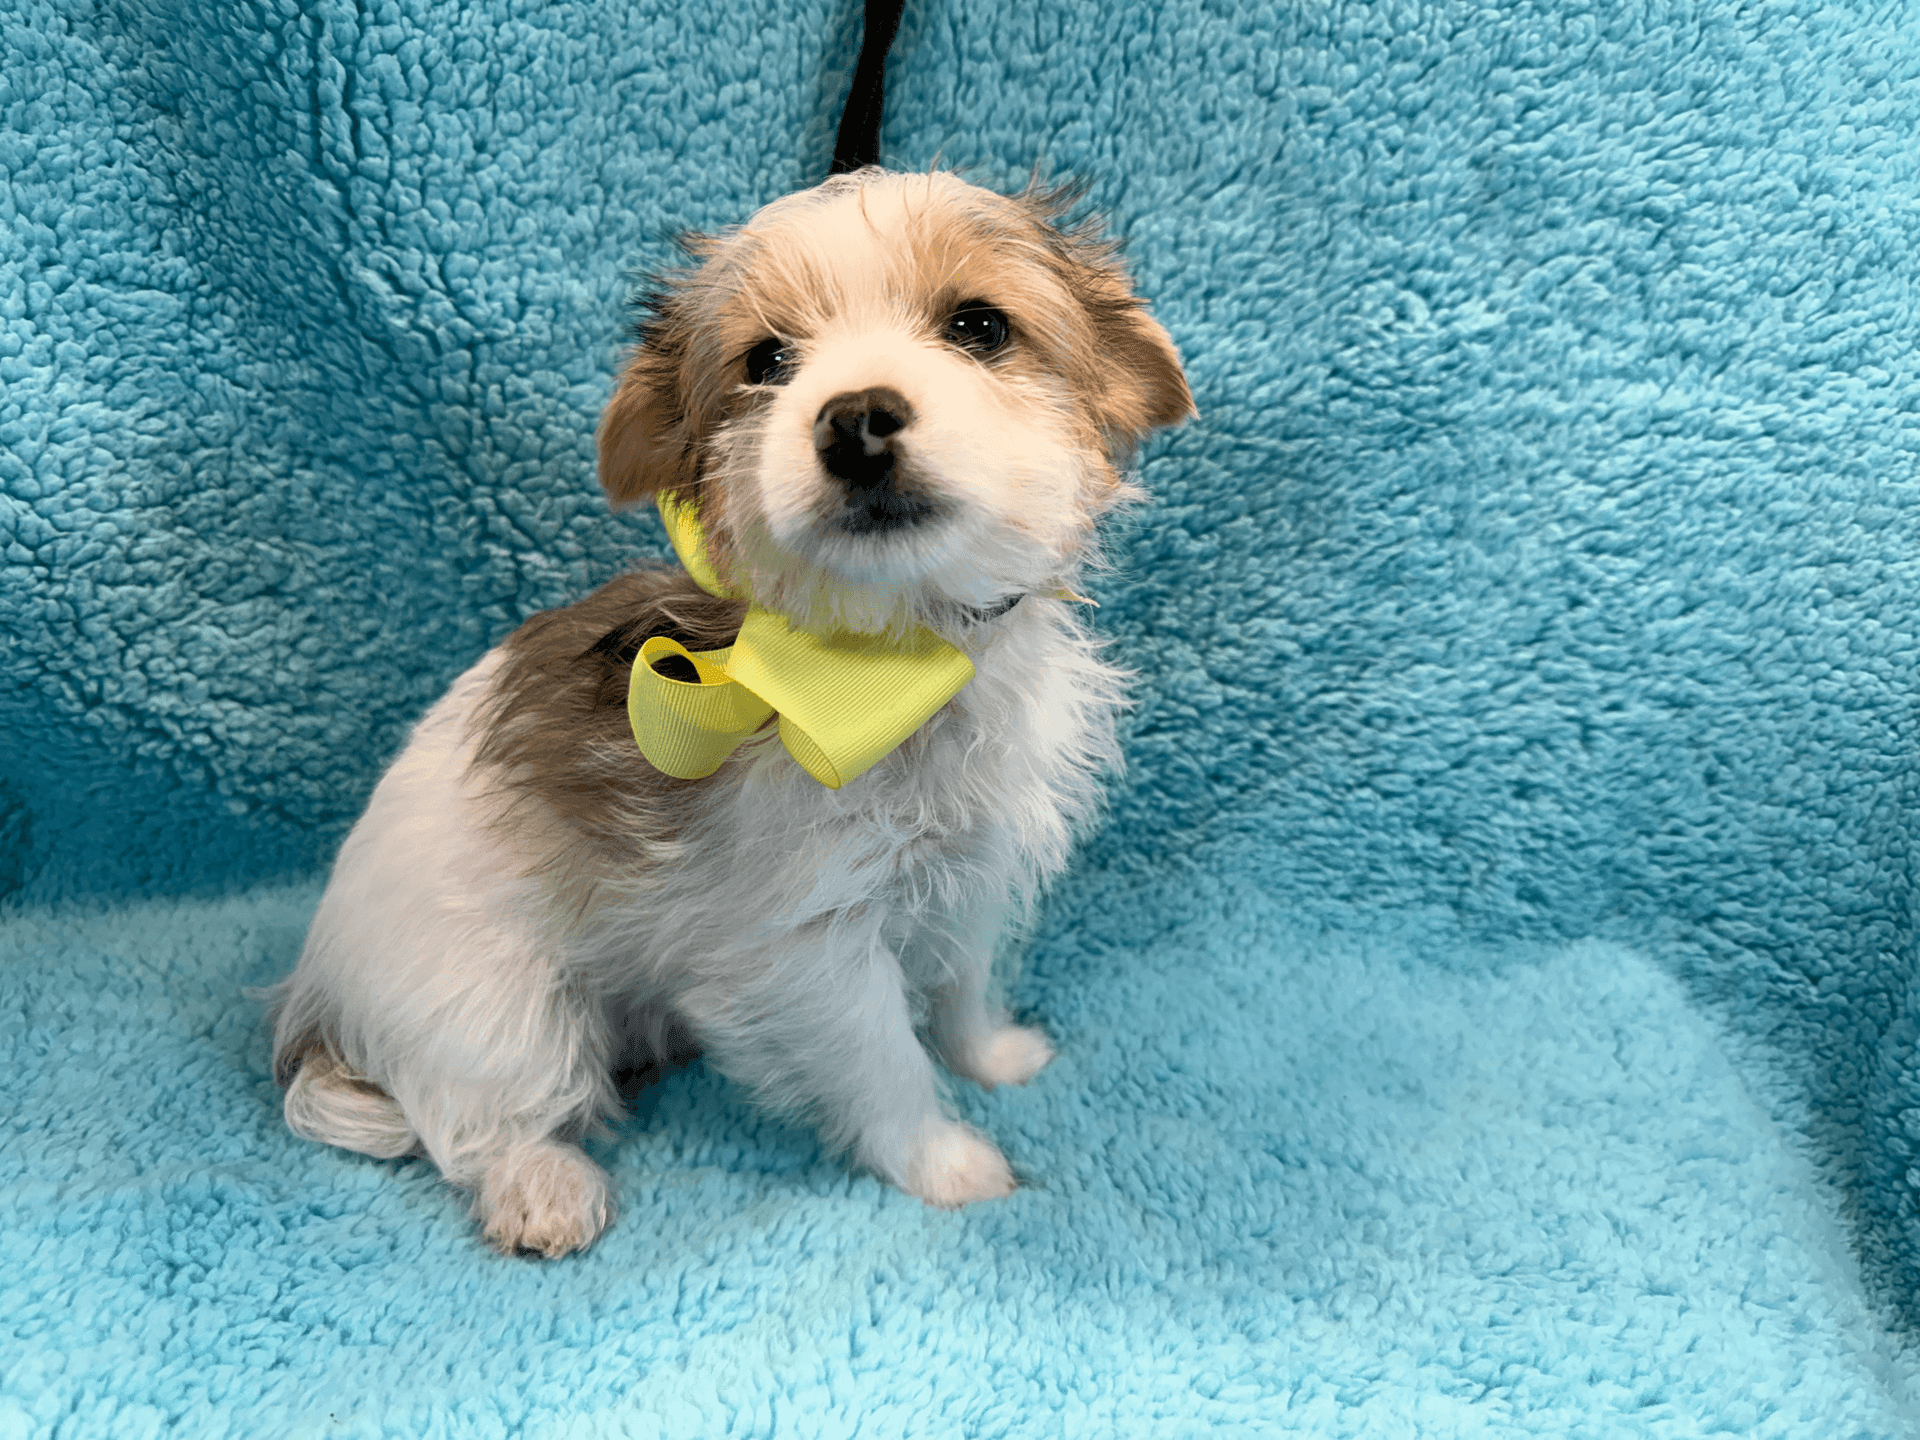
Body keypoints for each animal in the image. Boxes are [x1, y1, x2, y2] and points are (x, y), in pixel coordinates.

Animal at [270, 166, 1190, 1251]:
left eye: (979, 326)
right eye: (767, 362)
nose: (856, 416)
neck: (891, 665)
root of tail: (318, 995)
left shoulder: (970, 874)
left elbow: (961, 984)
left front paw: (992, 1055)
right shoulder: (811, 949)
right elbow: (885, 1059)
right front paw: (944, 1163)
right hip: (493, 1005)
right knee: (478, 1113)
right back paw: (543, 1184)